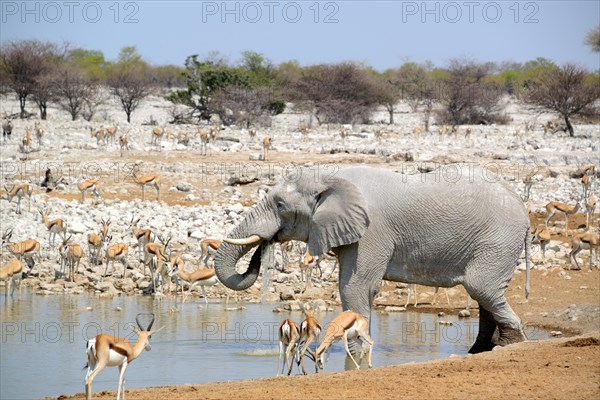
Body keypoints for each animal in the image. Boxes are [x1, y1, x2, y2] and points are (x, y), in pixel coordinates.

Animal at [214, 166, 528, 354]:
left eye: (280, 205)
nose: (262, 249)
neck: (330, 178)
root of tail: (521, 204)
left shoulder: (371, 232)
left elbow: (355, 287)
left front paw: (356, 352)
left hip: (498, 239)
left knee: (481, 287)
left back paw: (511, 345)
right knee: (484, 294)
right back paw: (480, 351)